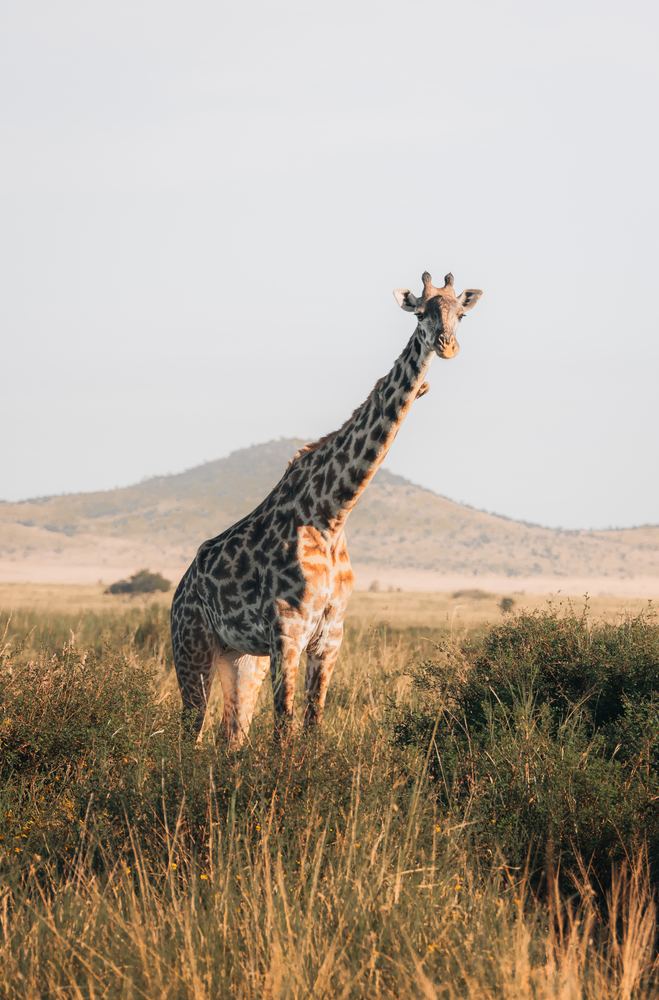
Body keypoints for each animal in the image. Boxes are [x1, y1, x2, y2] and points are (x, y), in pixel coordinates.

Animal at [171, 270, 483, 746]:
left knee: (231, 737)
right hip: (192, 646)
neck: (332, 513)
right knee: (191, 733)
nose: (447, 345)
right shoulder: (287, 633)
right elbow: (285, 729)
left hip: (240, 657)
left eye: (459, 314)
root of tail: (180, 590)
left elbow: (313, 723)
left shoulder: (330, 636)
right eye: (422, 312)